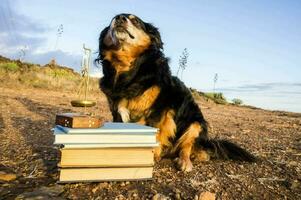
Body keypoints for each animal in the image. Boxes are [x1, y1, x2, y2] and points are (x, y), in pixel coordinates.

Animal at [95, 13, 254, 171]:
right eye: (113, 19)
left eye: (136, 21)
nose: (120, 18)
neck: (127, 69)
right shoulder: (116, 110)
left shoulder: (158, 110)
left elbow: (155, 133)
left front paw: (151, 156)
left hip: (195, 124)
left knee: (188, 147)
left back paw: (185, 161)